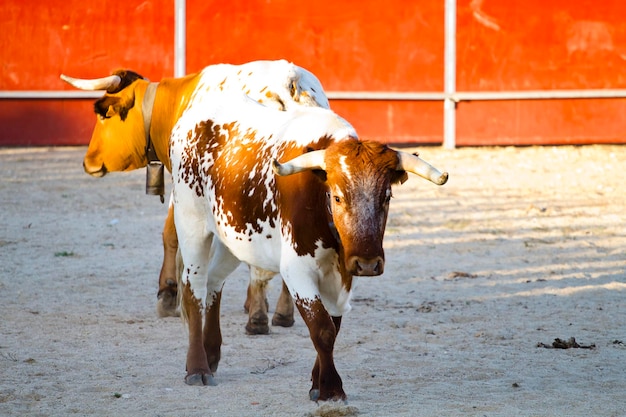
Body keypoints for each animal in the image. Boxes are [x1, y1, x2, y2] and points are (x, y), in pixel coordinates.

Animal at [61, 59, 330, 332]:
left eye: (104, 114)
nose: (88, 161)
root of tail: (289, 82)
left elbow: (170, 234)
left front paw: (168, 295)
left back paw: (257, 318)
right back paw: (281, 311)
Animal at [168, 91, 446, 400]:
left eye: (387, 197)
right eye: (337, 197)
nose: (368, 263)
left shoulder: (343, 274)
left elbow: (333, 326)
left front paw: (318, 383)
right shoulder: (297, 270)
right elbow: (322, 328)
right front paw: (331, 389)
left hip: (235, 238)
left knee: (214, 281)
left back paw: (211, 353)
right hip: (191, 223)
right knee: (194, 287)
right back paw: (198, 367)